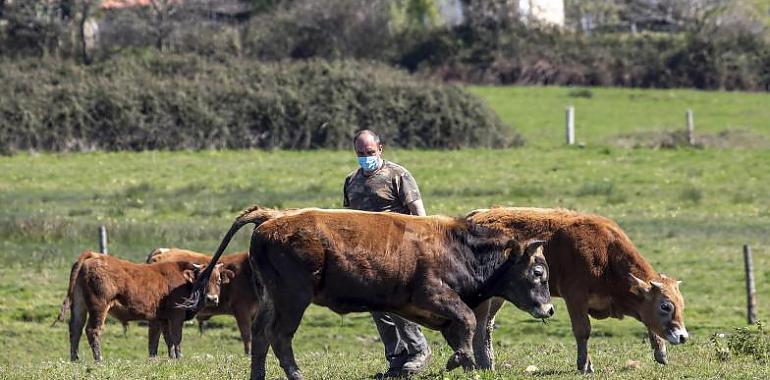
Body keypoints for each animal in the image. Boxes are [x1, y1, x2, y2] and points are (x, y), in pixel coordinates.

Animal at [54, 251, 231, 360]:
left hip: (79, 305)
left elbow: (162, 341)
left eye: (218, 280)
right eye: (203, 280)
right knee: (92, 330)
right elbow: (176, 338)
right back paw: (99, 359)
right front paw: (179, 358)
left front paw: (171, 358)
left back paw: (75, 359)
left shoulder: (161, 319)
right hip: (99, 307)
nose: (212, 299)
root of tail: (92, 256)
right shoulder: (176, 316)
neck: (185, 281)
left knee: (75, 328)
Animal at [180, 206, 552, 380]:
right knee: (280, 336)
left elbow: (460, 331)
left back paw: (258, 375)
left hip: (271, 297)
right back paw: (297, 373)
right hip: (293, 299)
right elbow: (468, 322)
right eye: (538, 273)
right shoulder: (433, 295)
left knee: (259, 335)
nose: (548, 310)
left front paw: (465, 363)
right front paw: (457, 362)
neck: (457, 248)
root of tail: (272, 217)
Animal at [464, 206, 688, 372]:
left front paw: (660, 352)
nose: (683, 336)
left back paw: (487, 362)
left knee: (487, 325)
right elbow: (582, 330)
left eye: (681, 305)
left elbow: (650, 324)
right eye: (665, 306)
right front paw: (585, 365)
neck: (605, 256)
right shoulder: (575, 297)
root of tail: (478, 215)